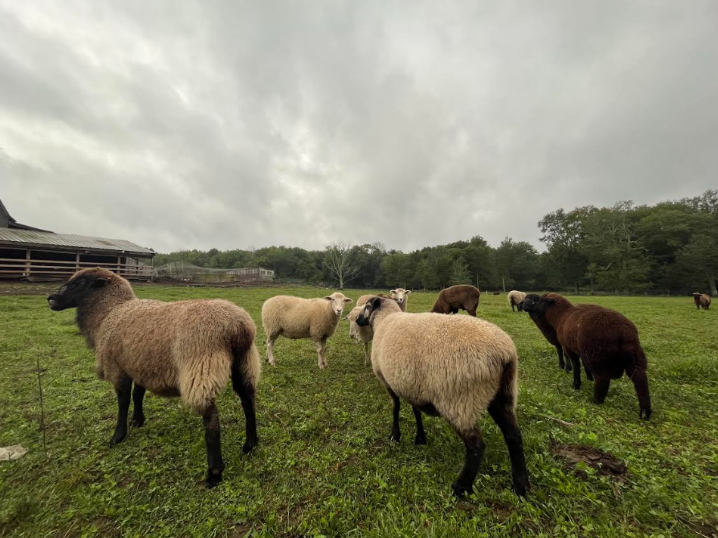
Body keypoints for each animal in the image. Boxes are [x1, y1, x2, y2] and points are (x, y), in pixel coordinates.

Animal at [47, 268, 260, 488]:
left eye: (80, 282)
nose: (51, 298)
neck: (109, 311)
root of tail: (238, 326)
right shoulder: (141, 366)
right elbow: (137, 395)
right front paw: (137, 420)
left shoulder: (117, 368)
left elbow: (123, 401)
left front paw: (118, 436)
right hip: (245, 363)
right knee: (248, 401)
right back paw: (250, 444)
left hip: (201, 368)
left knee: (212, 420)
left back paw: (214, 473)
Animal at [356, 295, 529, 498]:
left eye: (367, 306)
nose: (358, 320)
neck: (384, 319)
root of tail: (505, 353)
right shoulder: (411, 385)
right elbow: (416, 411)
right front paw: (420, 438)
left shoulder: (387, 381)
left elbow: (395, 408)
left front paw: (395, 436)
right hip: (504, 394)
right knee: (513, 435)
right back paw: (521, 486)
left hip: (460, 401)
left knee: (476, 446)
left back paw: (461, 487)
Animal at [523, 293, 652, 419]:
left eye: (540, 301)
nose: (525, 306)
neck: (561, 315)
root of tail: (621, 332)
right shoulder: (581, 350)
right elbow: (584, 366)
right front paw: (589, 378)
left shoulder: (569, 348)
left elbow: (576, 365)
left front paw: (576, 385)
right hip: (634, 356)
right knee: (640, 379)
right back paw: (645, 412)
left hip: (597, 356)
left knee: (603, 379)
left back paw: (596, 401)